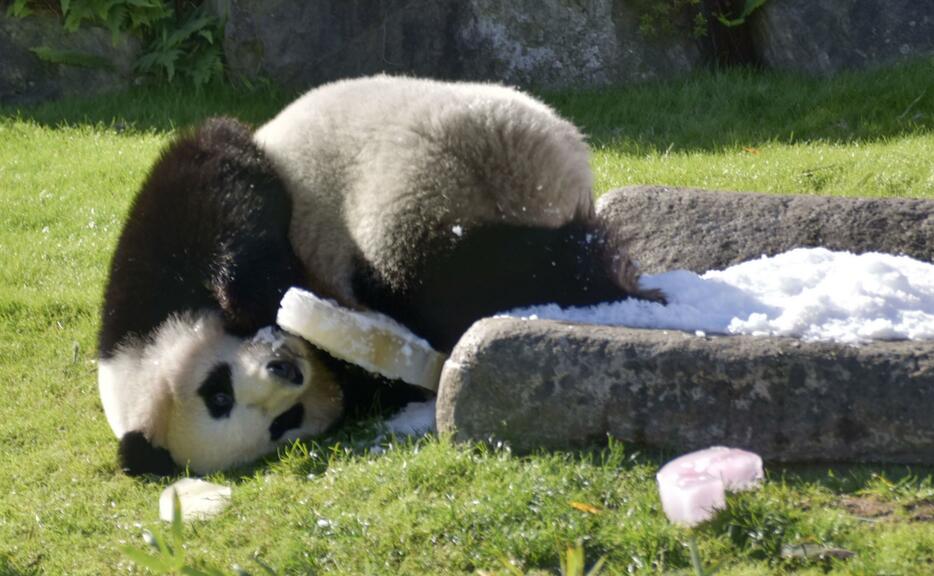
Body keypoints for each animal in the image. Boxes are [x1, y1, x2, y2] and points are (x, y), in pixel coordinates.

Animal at [98, 74, 660, 474]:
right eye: (283, 423)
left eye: (217, 392)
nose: (286, 370)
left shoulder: (156, 250)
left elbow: (221, 173)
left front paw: (251, 294)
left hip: (421, 170)